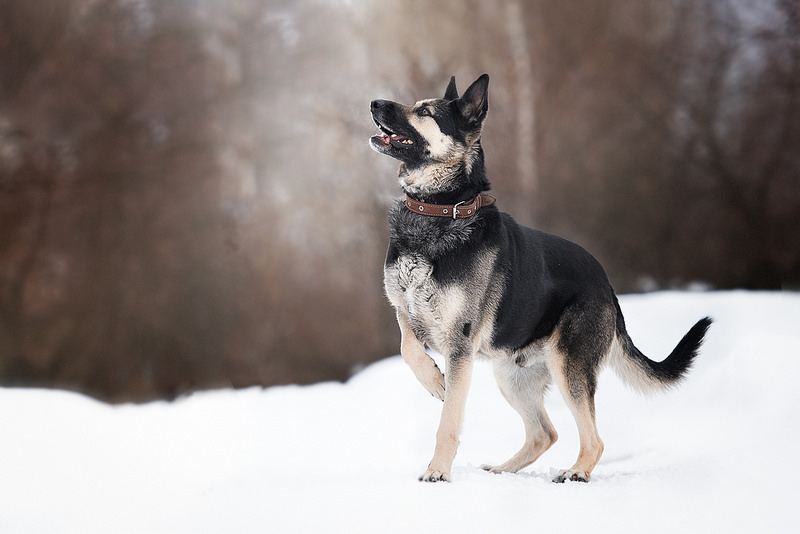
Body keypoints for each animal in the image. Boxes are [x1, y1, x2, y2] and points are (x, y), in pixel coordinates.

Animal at [368, 75, 712, 486]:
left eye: (424, 111)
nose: (374, 103)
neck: (438, 211)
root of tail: (607, 285)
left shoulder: (460, 346)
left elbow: (448, 421)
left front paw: (437, 471)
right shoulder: (405, 311)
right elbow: (408, 348)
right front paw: (435, 380)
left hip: (569, 368)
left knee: (592, 438)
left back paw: (576, 472)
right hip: (511, 374)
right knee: (544, 432)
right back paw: (502, 471)